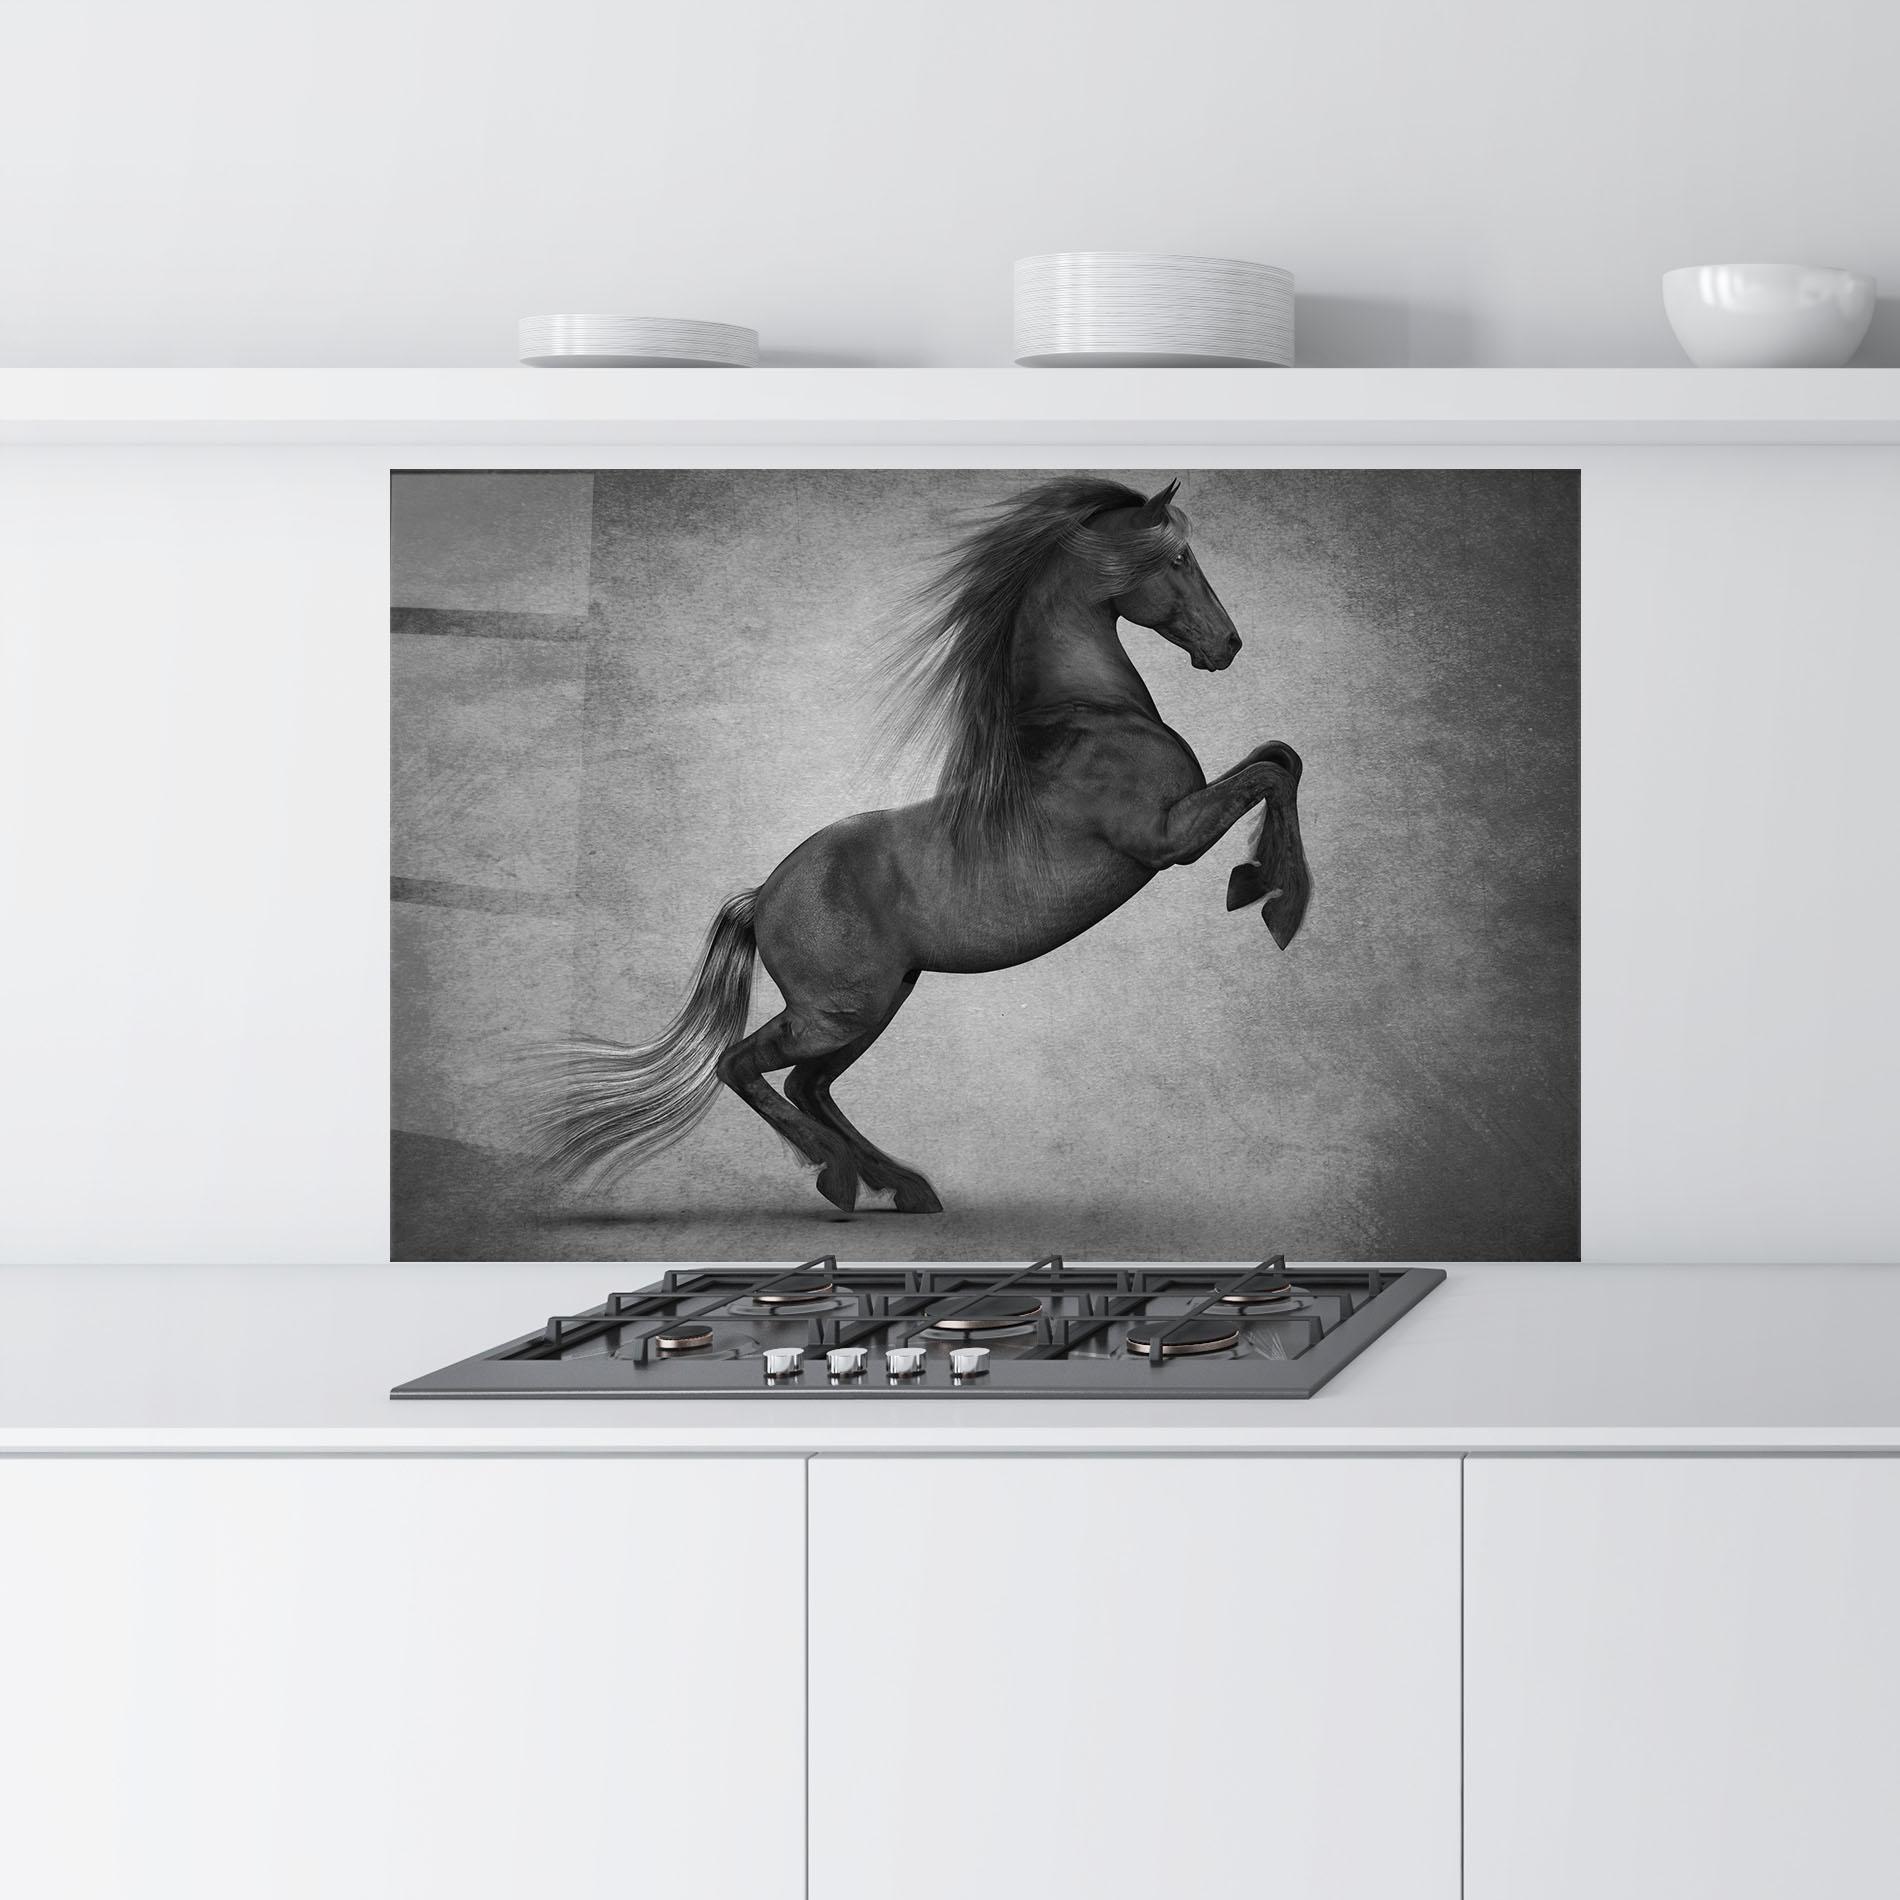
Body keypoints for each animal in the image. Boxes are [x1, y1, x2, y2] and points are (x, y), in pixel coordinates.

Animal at [534, 475, 1311, 1215]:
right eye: (1177, 558)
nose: (1229, 645)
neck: (1092, 717)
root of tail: (762, 897)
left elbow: (1281, 755)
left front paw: (1262, 881)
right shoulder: (1166, 838)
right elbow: (1271, 771)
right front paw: (1274, 902)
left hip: (874, 1007)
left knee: (809, 1085)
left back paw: (902, 1186)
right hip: (837, 1013)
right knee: (743, 1066)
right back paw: (841, 1176)